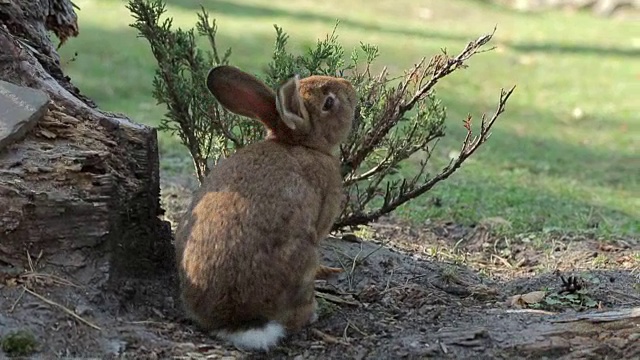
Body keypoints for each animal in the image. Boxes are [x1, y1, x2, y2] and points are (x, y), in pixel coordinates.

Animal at [172, 64, 358, 352]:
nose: (350, 88)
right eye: (329, 103)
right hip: (305, 258)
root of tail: (236, 321)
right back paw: (311, 313)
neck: (302, 144)